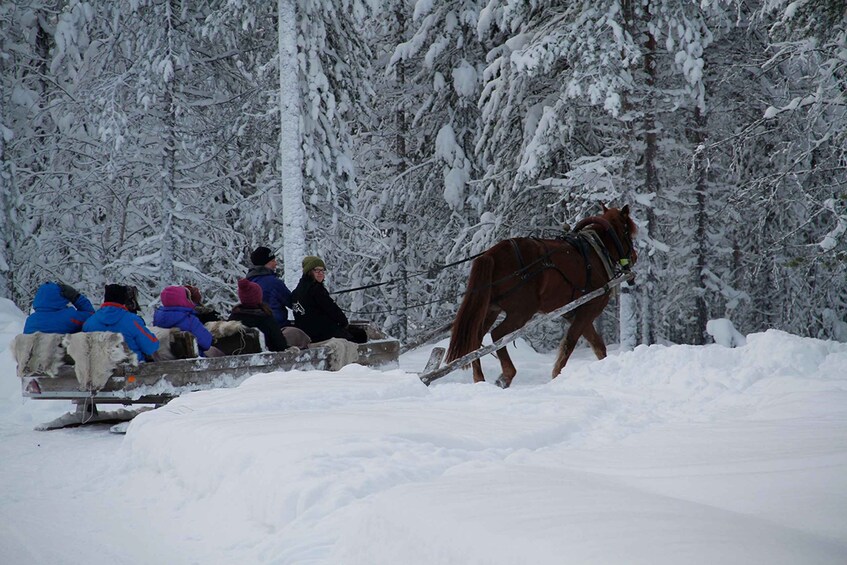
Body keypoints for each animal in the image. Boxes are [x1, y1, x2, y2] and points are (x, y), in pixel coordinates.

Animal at [444, 206, 636, 388]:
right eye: (628, 232)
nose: (634, 256)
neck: (596, 251)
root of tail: (492, 254)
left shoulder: (574, 312)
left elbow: (597, 344)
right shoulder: (590, 307)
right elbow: (570, 342)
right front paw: (557, 374)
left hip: (491, 309)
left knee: (475, 340)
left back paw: (479, 379)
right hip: (522, 310)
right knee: (498, 334)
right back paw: (506, 375)